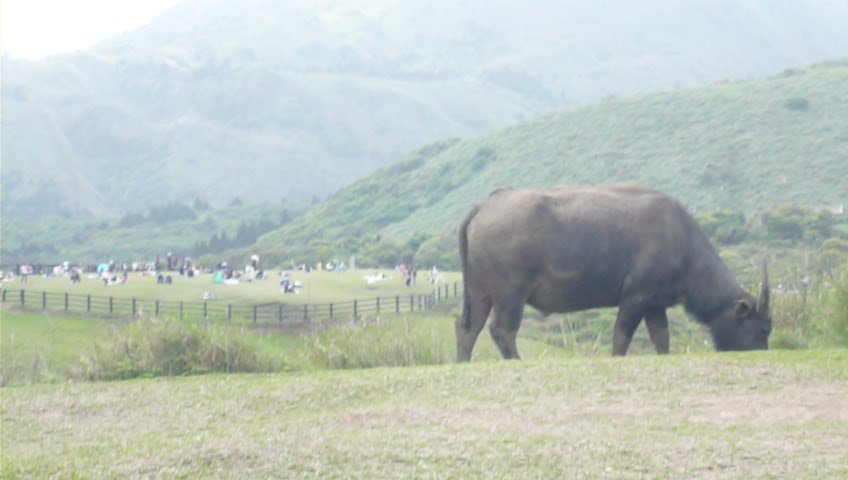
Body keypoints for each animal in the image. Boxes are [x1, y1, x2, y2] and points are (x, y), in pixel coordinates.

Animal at [454, 185, 772, 360]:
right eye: (762, 328)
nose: (761, 350)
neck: (681, 241)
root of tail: (485, 206)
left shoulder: (654, 305)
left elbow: (662, 339)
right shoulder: (635, 298)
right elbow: (621, 337)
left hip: (480, 292)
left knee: (468, 327)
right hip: (510, 294)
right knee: (502, 330)